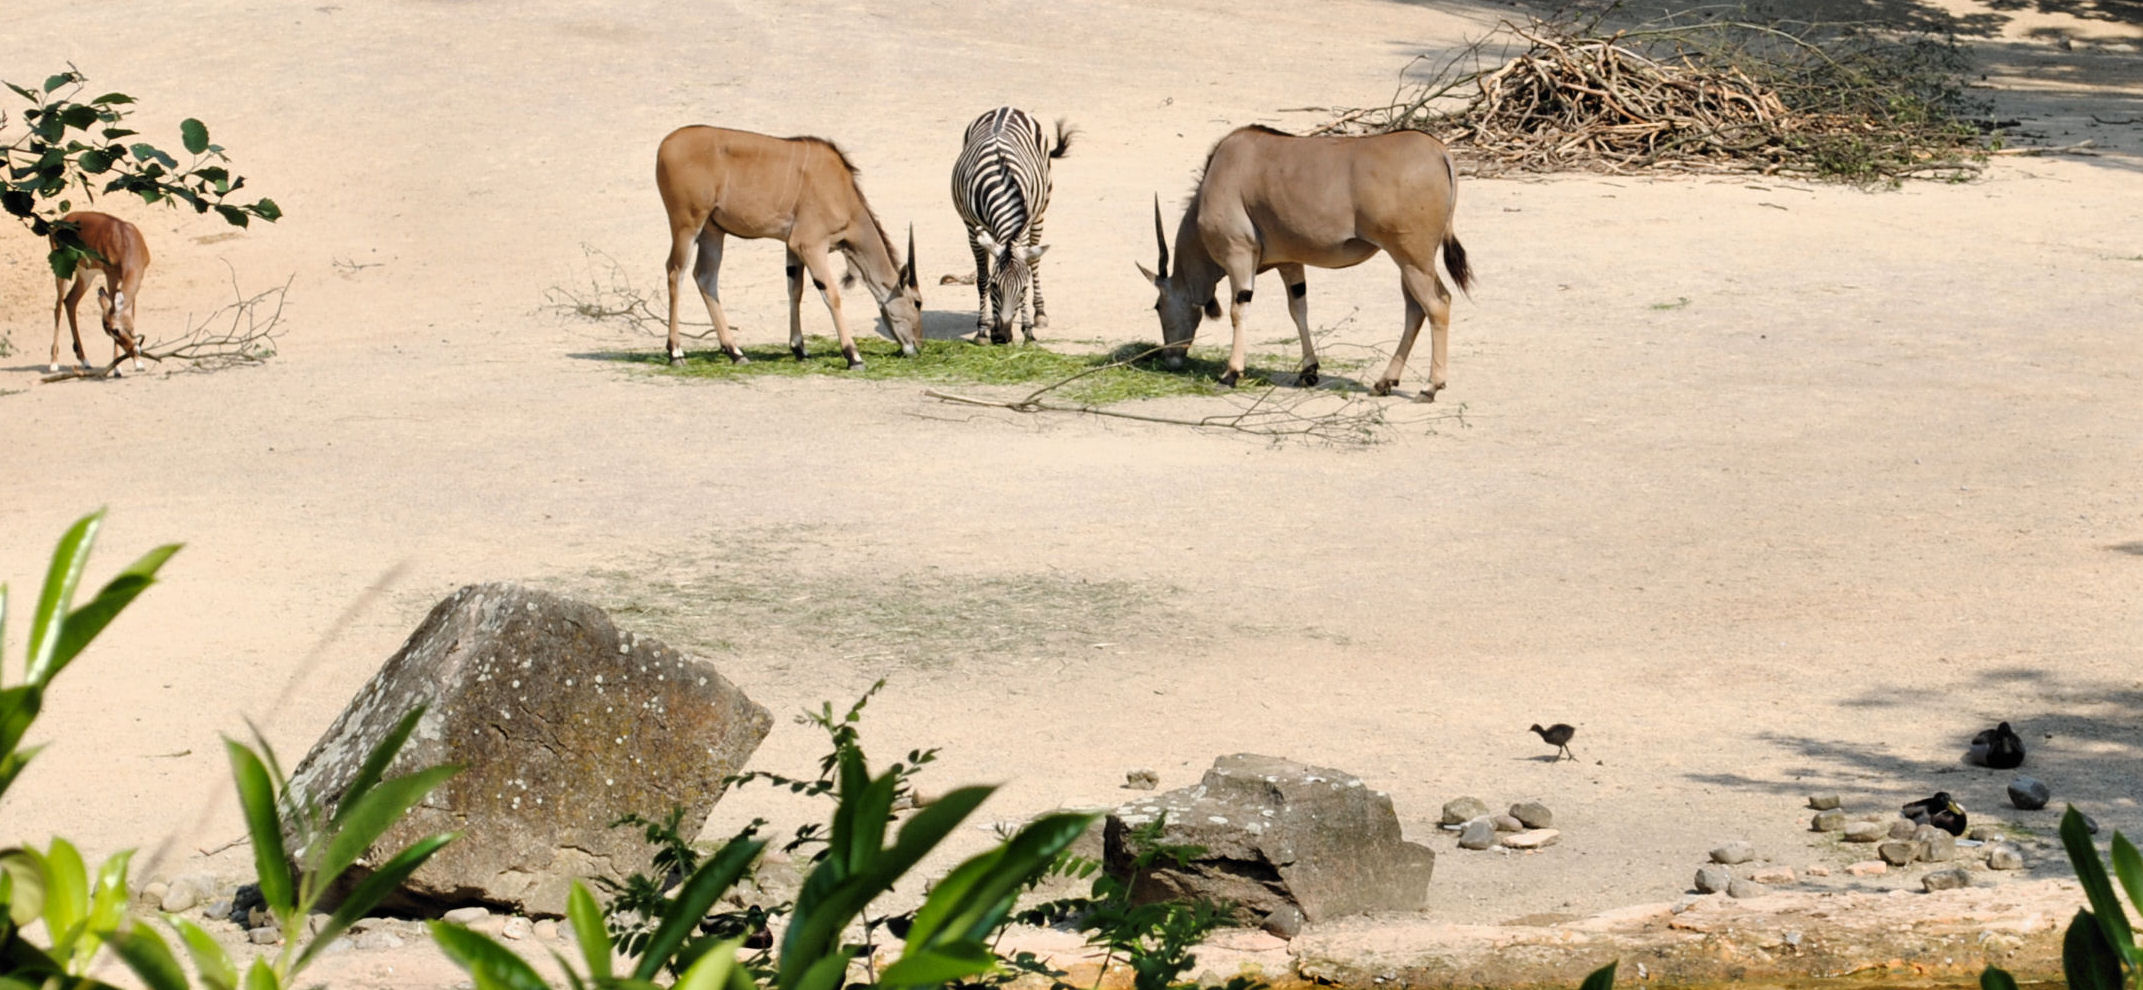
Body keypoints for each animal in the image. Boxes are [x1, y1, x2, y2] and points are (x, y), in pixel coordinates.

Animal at [49, 208, 148, 375]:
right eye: (112, 332)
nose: (132, 351)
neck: (125, 241)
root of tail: (60, 221)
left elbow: (132, 314)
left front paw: (138, 363)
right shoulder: (111, 275)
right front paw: (117, 369)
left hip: (86, 275)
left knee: (70, 301)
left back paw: (85, 360)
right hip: (62, 272)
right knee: (58, 307)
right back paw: (54, 363)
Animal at [651, 124, 921, 370]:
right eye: (917, 302)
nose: (917, 347)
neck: (840, 189)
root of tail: (665, 145)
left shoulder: (793, 246)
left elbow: (795, 290)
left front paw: (800, 349)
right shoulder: (811, 245)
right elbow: (831, 294)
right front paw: (853, 356)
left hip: (712, 232)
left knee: (705, 277)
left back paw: (735, 352)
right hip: (687, 225)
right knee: (675, 272)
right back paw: (676, 352)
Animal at [947, 106, 1071, 347]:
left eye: (1023, 290)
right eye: (995, 286)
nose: (1002, 337)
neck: (999, 184)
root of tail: (1006, 108)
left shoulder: (1024, 223)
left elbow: (1027, 269)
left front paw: (1028, 331)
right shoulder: (972, 228)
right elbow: (982, 278)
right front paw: (982, 330)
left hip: (1040, 213)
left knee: (1035, 263)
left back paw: (1040, 313)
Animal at [1140, 126, 1474, 398]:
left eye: (1158, 305)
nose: (1170, 358)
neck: (1223, 169)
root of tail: (1439, 152)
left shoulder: (1239, 254)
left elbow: (1239, 309)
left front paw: (1231, 373)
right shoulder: (1290, 262)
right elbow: (1298, 309)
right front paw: (1308, 371)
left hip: (1411, 259)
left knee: (1437, 305)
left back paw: (1430, 386)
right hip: (1409, 263)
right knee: (1416, 309)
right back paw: (1385, 382)